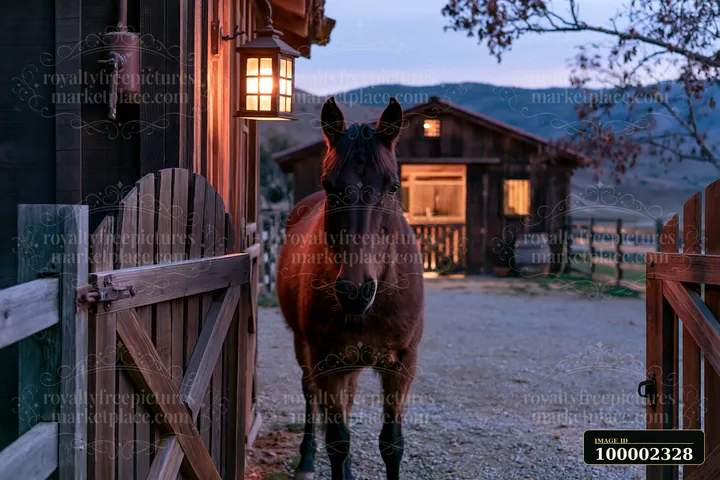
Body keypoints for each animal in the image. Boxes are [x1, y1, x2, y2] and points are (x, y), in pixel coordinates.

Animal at [276, 96, 425, 480]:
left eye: (392, 187)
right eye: (330, 186)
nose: (355, 291)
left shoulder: (402, 365)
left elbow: (391, 444)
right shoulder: (326, 361)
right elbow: (338, 441)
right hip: (306, 350)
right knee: (310, 394)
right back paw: (307, 459)